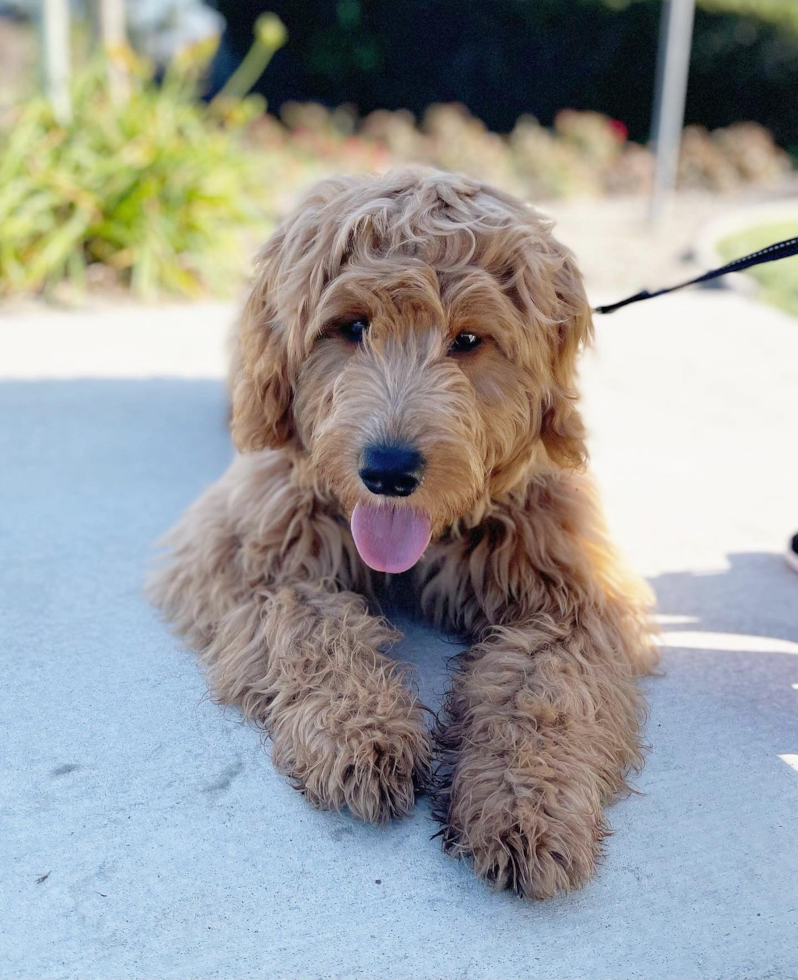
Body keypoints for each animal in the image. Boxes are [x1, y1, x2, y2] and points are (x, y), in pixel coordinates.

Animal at [148, 167, 656, 896]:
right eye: (351, 327)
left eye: (469, 340)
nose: (387, 471)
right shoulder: (244, 547)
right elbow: (311, 621)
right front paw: (360, 733)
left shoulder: (577, 594)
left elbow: (547, 689)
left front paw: (526, 802)